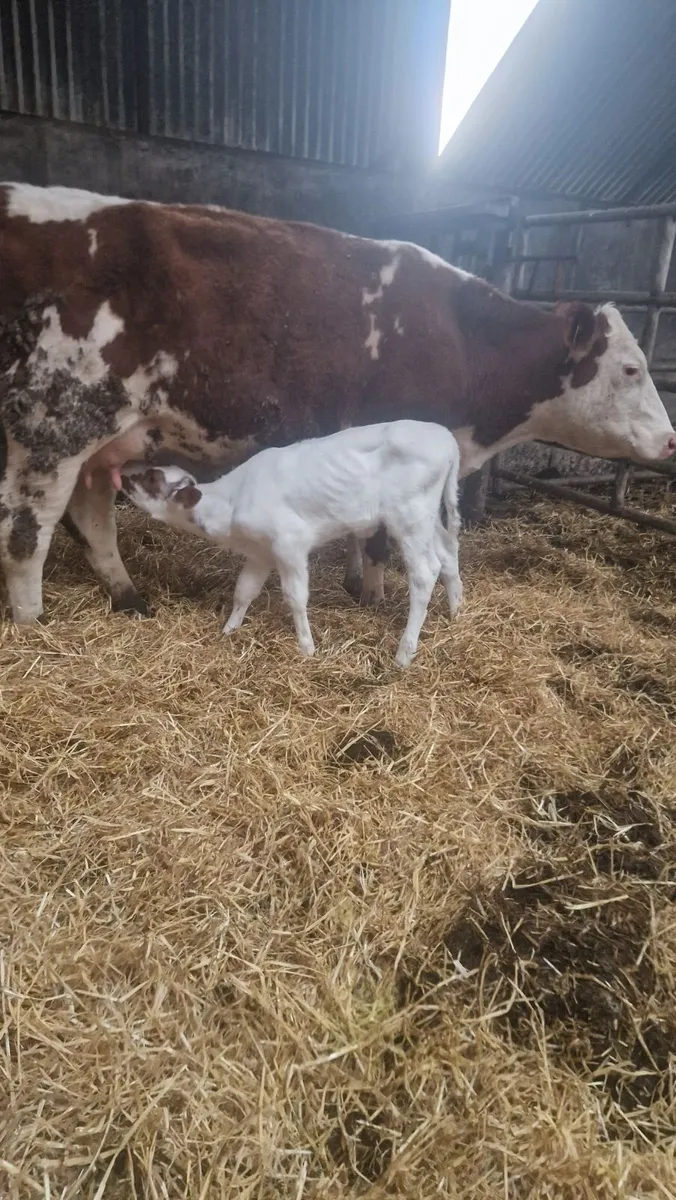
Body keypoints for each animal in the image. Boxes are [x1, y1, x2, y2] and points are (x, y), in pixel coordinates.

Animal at [0, 181, 674, 625]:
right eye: (632, 368)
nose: (670, 439)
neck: (462, 337)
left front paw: (356, 585)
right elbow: (377, 538)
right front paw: (373, 596)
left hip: (105, 435)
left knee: (91, 516)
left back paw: (129, 597)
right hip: (52, 423)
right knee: (27, 529)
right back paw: (34, 623)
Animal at [119, 420, 463, 667]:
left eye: (152, 479)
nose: (122, 474)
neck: (231, 504)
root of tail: (445, 437)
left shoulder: (290, 544)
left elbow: (296, 597)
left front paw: (306, 646)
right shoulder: (260, 553)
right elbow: (244, 591)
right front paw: (229, 629)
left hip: (409, 517)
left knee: (425, 573)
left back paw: (404, 653)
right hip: (427, 518)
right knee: (447, 554)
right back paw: (456, 613)